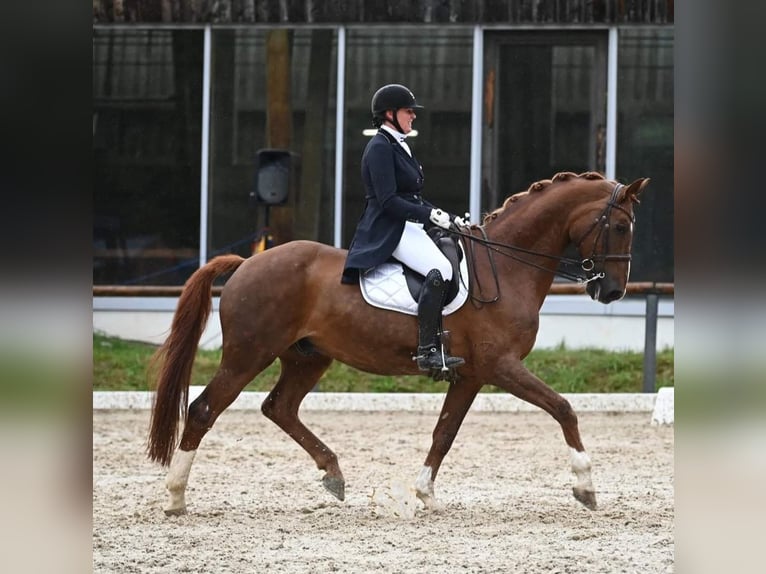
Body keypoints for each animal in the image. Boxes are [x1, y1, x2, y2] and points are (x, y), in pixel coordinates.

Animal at [147, 171, 652, 516]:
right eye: (620, 227)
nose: (612, 292)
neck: (507, 267)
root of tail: (247, 263)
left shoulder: (471, 375)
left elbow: (445, 432)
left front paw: (425, 493)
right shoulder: (502, 366)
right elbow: (563, 408)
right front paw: (586, 486)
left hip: (307, 357)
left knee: (279, 407)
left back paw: (333, 474)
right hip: (249, 354)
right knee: (204, 409)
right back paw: (175, 497)